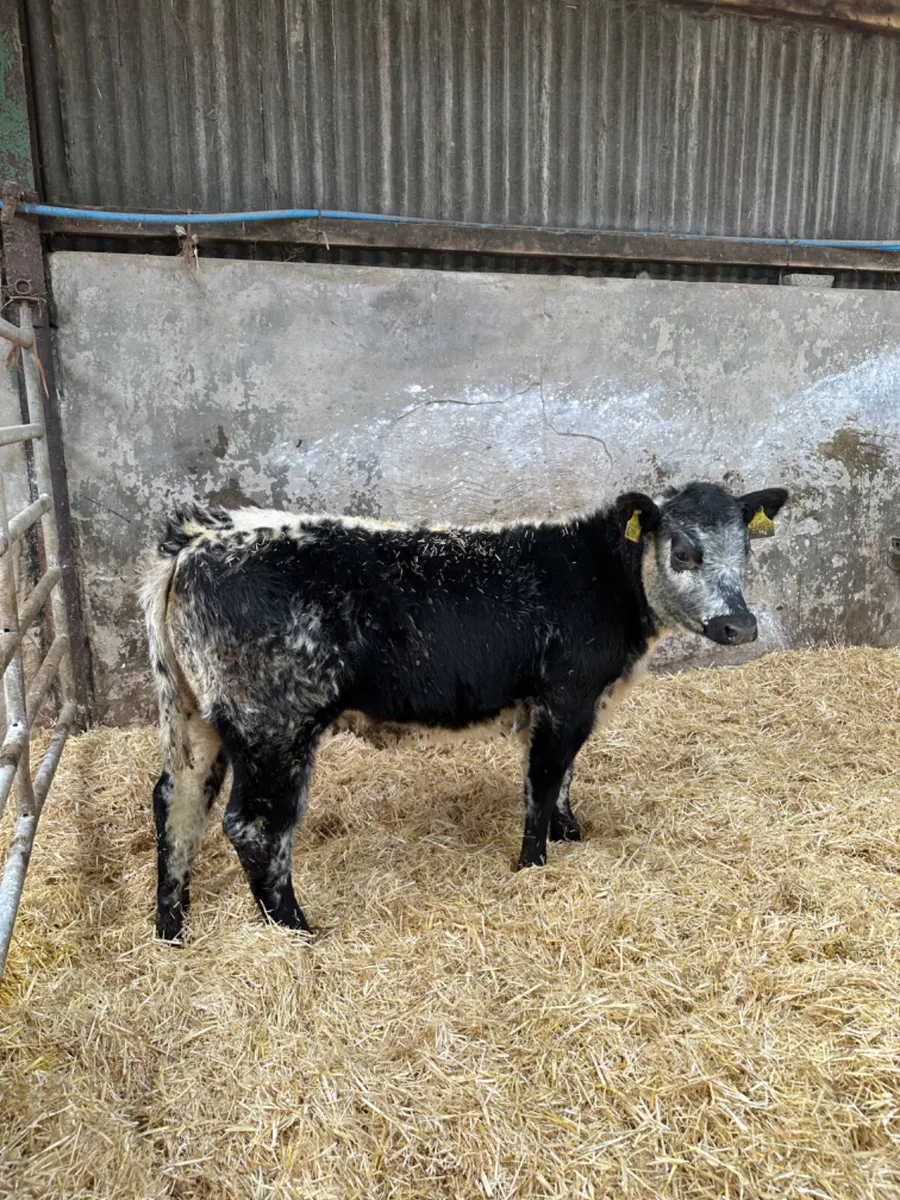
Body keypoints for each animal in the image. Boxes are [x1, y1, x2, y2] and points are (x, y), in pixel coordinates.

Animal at [140, 481, 788, 941]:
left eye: (746, 551)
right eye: (684, 551)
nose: (740, 626)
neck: (600, 578)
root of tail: (198, 540)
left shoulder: (571, 703)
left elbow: (565, 778)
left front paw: (571, 835)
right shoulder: (565, 696)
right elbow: (543, 780)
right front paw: (533, 866)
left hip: (195, 717)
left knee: (178, 799)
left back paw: (172, 929)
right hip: (275, 726)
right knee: (255, 826)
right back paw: (297, 931)